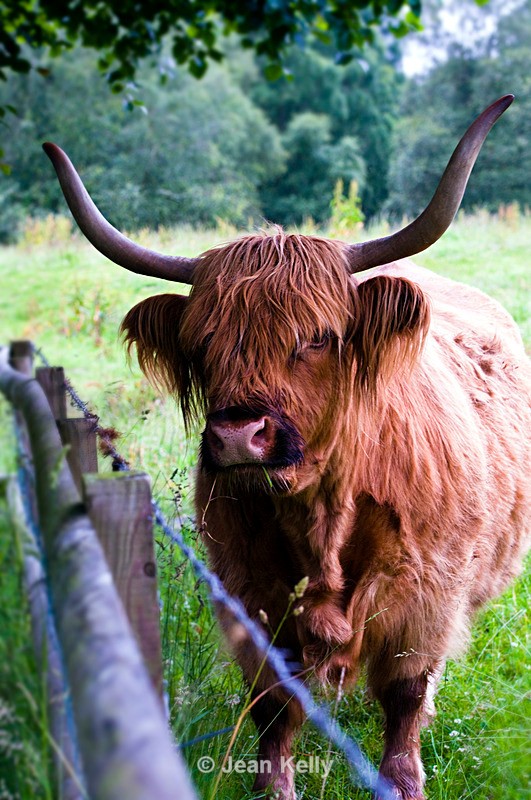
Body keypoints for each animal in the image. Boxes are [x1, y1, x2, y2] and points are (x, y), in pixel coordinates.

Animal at [44, 95, 531, 800]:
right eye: (201, 345)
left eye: (319, 336)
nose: (237, 435)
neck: (322, 512)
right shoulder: (249, 590)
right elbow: (273, 702)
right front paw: (274, 786)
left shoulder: (429, 594)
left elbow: (406, 692)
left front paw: (402, 781)